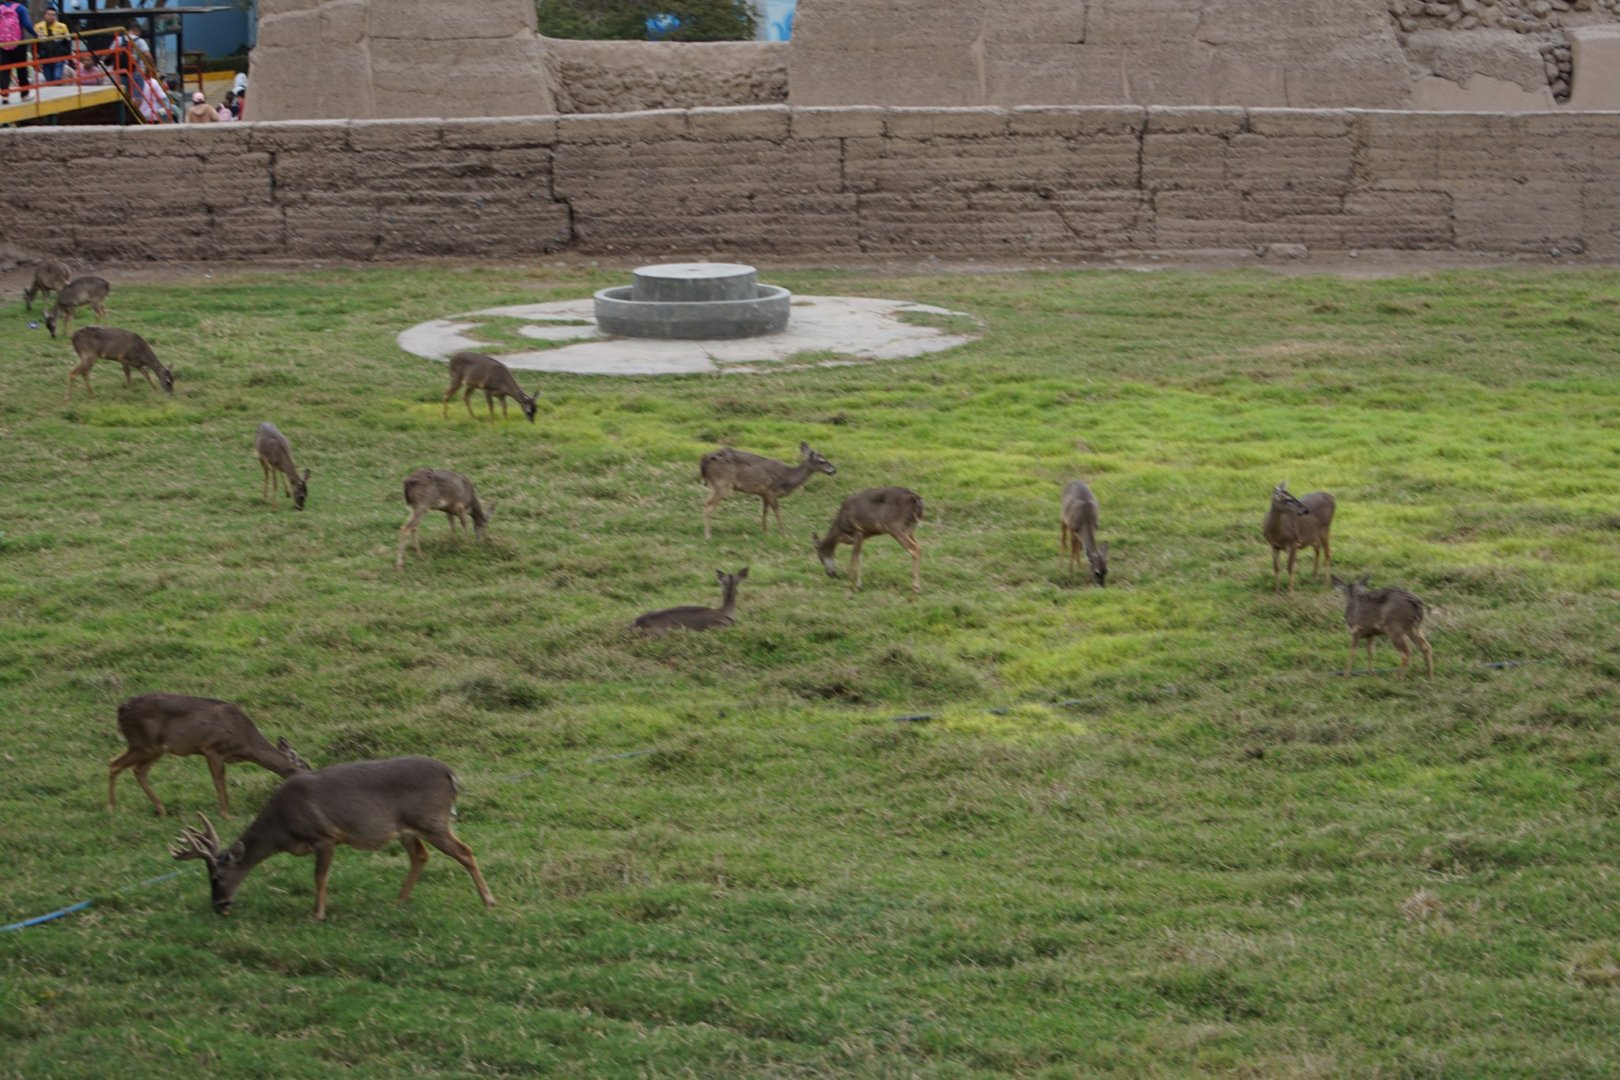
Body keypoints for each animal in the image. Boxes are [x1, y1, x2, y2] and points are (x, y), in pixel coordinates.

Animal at [108, 692, 311, 817]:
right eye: (306, 767)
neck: (245, 744)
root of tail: (121, 710)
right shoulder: (213, 748)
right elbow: (219, 782)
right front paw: (227, 814)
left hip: (155, 749)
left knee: (137, 770)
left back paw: (161, 810)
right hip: (143, 744)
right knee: (114, 764)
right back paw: (111, 807)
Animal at [170, 756, 497, 920]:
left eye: (216, 877)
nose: (219, 905)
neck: (282, 829)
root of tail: (450, 775)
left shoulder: (324, 835)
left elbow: (319, 877)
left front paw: (317, 914)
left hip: (431, 819)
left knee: (465, 851)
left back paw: (489, 901)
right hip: (408, 828)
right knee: (420, 856)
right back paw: (399, 900)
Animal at [700, 442, 837, 540]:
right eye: (821, 460)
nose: (834, 470)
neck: (788, 478)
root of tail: (704, 460)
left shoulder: (763, 493)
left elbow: (765, 511)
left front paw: (764, 531)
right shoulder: (771, 489)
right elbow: (777, 511)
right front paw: (784, 534)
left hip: (714, 484)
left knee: (706, 502)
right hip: (723, 482)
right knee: (708, 504)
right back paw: (708, 535)